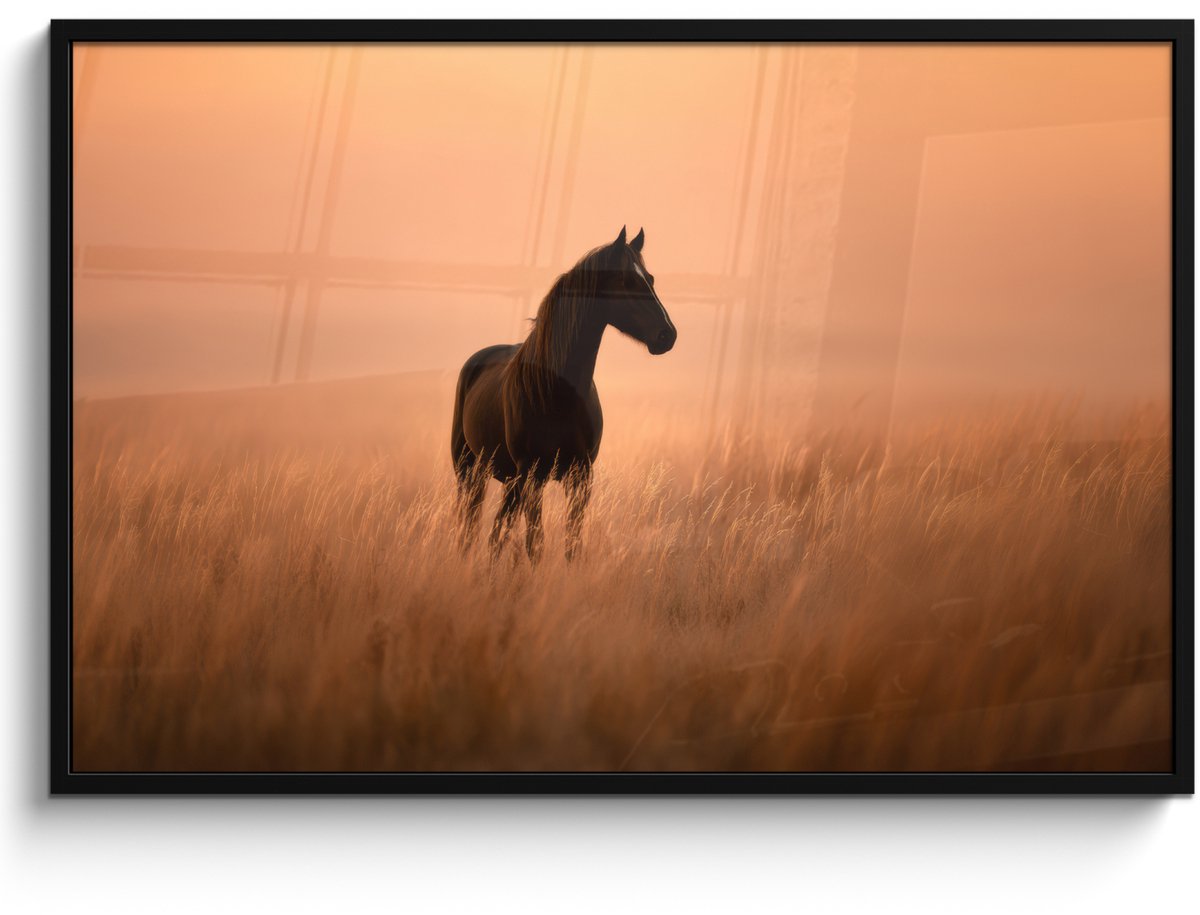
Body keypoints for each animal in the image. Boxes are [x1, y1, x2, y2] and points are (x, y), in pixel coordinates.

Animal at [450, 226, 677, 562]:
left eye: (649, 278)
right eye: (626, 280)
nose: (667, 335)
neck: (556, 393)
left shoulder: (580, 477)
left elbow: (572, 543)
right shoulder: (533, 476)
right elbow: (535, 544)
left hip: (508, 480)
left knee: (496, 532)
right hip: (471, 471)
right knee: (473, 528)